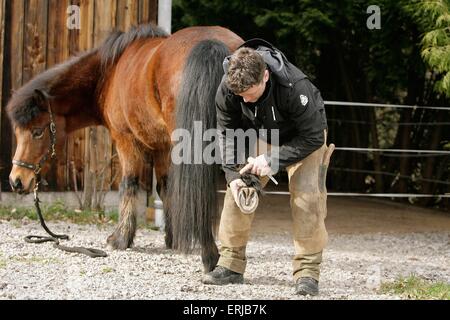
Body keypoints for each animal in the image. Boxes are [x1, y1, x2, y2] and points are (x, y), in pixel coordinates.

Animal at [5, 23, 244, 272]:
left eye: (37, 131)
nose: (16, 180)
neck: (108, 73)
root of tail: (211, 44)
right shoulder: (161, 147)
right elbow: (166, 187)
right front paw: (172, 238)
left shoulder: (125, 140)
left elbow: (129, 184)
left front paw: (120, 238)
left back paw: (210, 257)